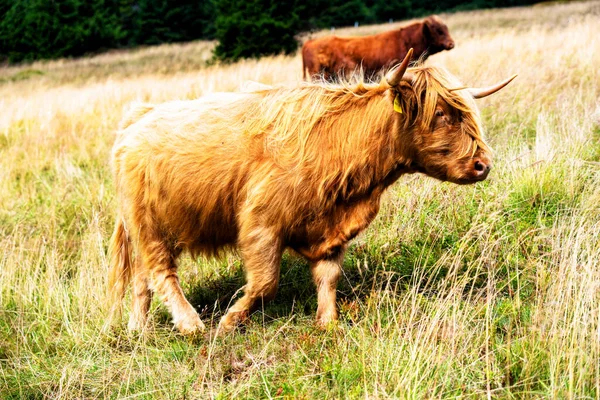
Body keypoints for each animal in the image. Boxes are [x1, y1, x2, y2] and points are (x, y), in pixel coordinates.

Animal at [108, 50, 516, 334]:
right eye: (441, 115)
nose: (483, 164)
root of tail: (137, 118)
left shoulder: (331, 229)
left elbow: (328, 276)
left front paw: (327, 321)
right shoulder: (260, 224)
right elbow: (264, 283)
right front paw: (230, 321)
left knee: (143, 279)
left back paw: (138, 329)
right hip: (148, 225)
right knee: (161, 273)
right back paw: (191, 324)